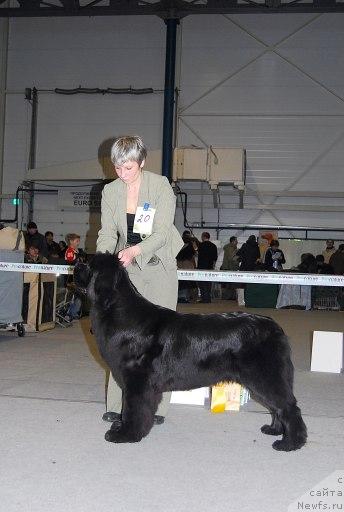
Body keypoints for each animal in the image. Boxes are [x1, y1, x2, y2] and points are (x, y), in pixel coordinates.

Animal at [74, 254, 306, 450]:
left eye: (87, 264)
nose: (75, 263)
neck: (119, 310)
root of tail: (274, 327)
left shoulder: (138, 382)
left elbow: (133, 409)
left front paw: (126, 434)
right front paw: (121, 427)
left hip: (265, 376)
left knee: (288, 407)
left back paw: (290, 443)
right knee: (277, 407)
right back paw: (274, 430)